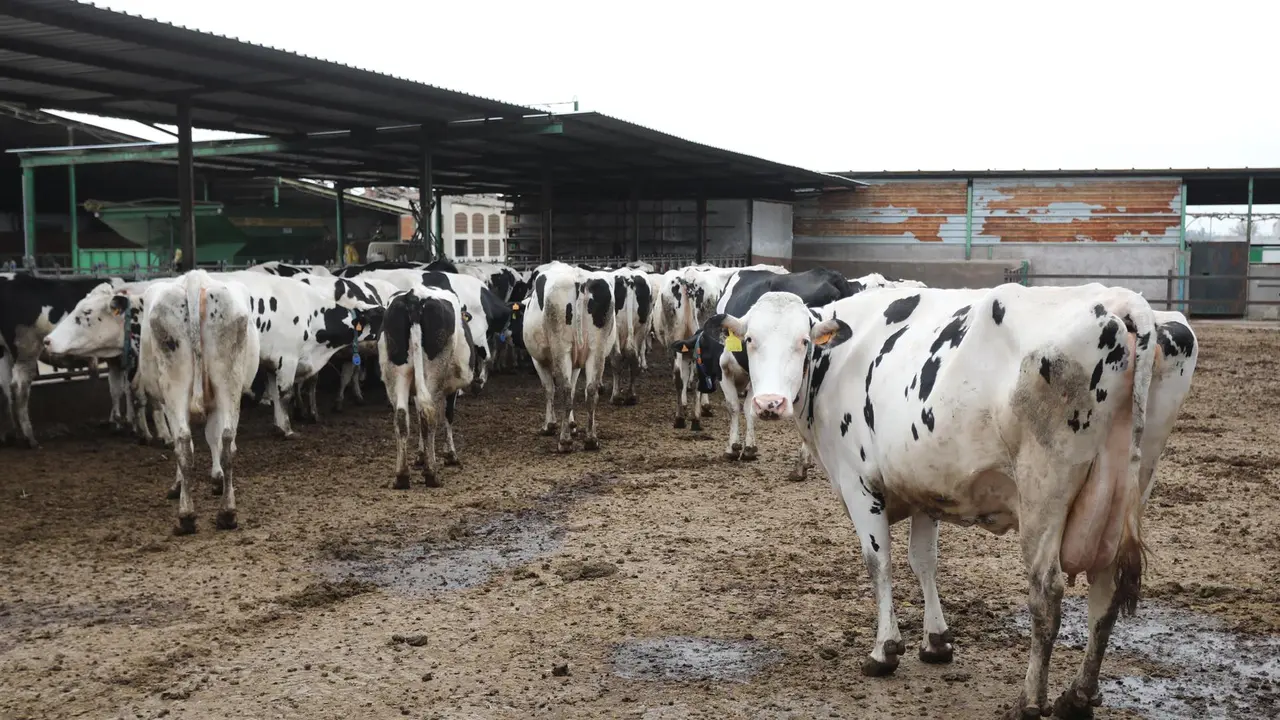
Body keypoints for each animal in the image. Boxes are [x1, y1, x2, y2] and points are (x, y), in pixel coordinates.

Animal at [0, 272, 124, 447]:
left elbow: (116, 388)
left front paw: (116, 422)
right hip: (26, 352)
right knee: (19, 388)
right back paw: (29, 438)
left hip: (4, 353)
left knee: (4, 388)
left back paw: (10, 434)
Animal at [377, 286, 479, 488]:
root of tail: (414, 297)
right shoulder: (452, 388)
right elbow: (448, 415)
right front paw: (450, 454)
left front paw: (421, 455)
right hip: (432, 373)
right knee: (429, 415)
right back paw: (431, 474)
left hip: (397, 374)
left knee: (402, 417)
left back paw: (402, 476)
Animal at [519, 261, 615, 452]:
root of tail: (580, 279)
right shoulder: (577, 363)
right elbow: (573, 389)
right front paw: (572, 425)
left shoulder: (538, 360)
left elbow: (549, 389)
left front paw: (549, 425)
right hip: (597, 350)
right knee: (590, 390)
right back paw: (591, 439)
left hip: (561, 348)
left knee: (564, 389)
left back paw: (564, 441)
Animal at [607, 267, 654, 405]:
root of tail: (629, 279)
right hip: (642, 327)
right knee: (634, 358)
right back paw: (631, 395)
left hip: (616, 329)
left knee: (617, 358)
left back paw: (616, 396)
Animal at [699, 284, 1197, 718]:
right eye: (751, 340)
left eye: (803, 342)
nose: (768, 402)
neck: (839, 356)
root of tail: (1123, 301)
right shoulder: (927, 488)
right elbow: (924, 561)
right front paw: (935, 641)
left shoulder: (860, 484)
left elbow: (878, 564)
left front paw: (885, 650)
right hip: (1126, 488)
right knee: (1106, 591)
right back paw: (1077, 696)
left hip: (1044, 492)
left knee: (1047, 593)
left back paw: (1030, 700)